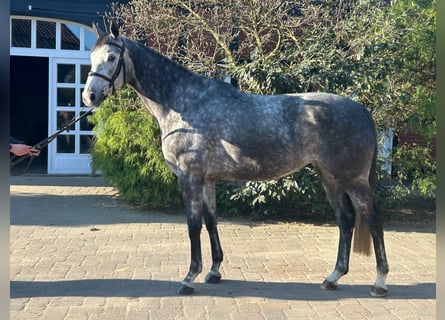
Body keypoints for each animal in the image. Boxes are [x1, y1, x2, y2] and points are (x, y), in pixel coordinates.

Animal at [81, 22, 386, 298]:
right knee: (345, 219)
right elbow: (211, 221)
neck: (183, 103)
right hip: (329, 177)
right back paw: (333, 277)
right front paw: (214, 271)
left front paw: (189, 278)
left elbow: (193, 226)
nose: (89, 96)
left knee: (372, 219)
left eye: (111, 57)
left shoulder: (189, 178)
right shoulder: (207, 181)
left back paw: (379, 283)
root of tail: (361, 110)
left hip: (352, 180)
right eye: (91, 58)